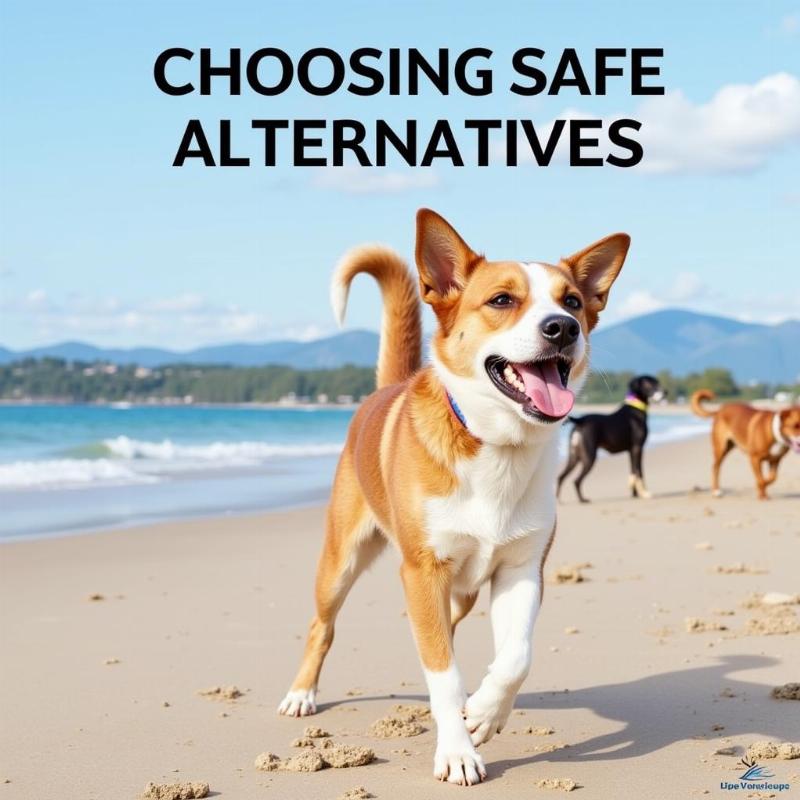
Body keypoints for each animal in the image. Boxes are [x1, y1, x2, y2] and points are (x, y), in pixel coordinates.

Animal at [278, 208, 628, 788]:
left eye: (573, 300)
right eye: (502, 300)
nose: (563, 327)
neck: (497, 447)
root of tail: (383, 390)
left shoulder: (521, 570)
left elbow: (515, 657)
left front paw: (484, 713)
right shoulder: (423, 573)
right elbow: (441, 672)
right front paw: (458, 751)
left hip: (460, 593)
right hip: (343, 560)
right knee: (322, 626)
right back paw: (301, 693)